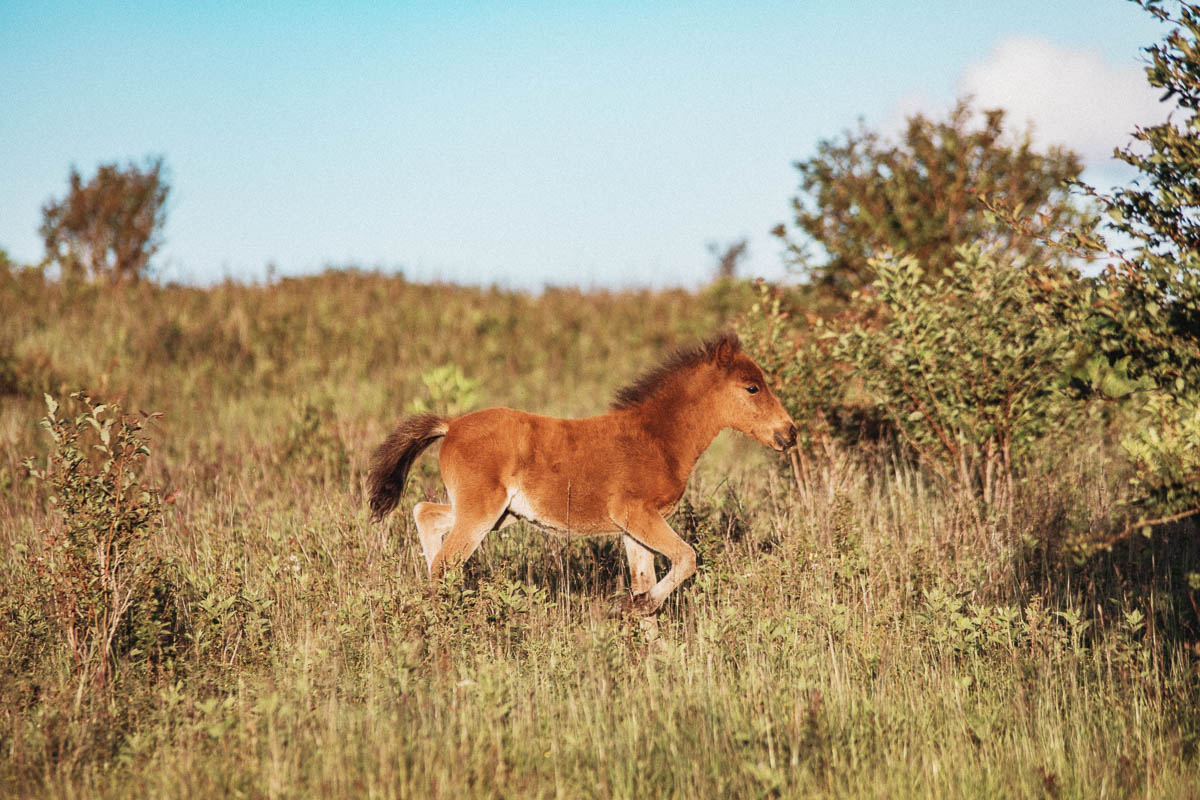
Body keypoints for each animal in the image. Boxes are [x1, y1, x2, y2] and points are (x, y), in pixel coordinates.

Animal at [364, 331, 796, 614]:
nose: (789, 432)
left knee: (426, 515)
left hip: (498, 514)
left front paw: (643, 627)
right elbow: (687, 558)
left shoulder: (633, 527)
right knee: (444, 562)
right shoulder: (637, 514)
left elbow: (645, 579)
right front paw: (641, 606)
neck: (658, 436)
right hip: (481, 512)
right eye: (752, 387)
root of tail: (451, 425)